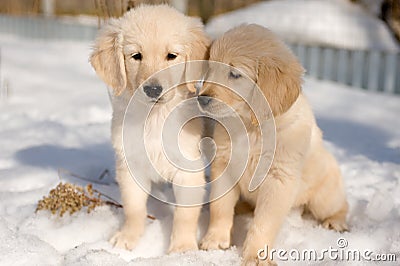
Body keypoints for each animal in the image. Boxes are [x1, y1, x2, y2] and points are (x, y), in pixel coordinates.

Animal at [90, 4, 209, 254]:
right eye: (136, 56)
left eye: (171, 56)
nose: (153, 90)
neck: (155, 119)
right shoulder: (130, 166)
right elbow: (134, 208)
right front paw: (127, 237)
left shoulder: (189, 171)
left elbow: (185, 215)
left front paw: (182, 248)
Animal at [198, 24, 348, 264]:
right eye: (210, 68)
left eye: (235, 74)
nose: (201, 98)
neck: (252, 127)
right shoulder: (224, 167)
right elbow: (219, 207)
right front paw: (214, 240)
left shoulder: (278, 178)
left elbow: (264, 222)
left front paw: (255, 255)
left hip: (324, 196)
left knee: (341, 205)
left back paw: (337, 222)